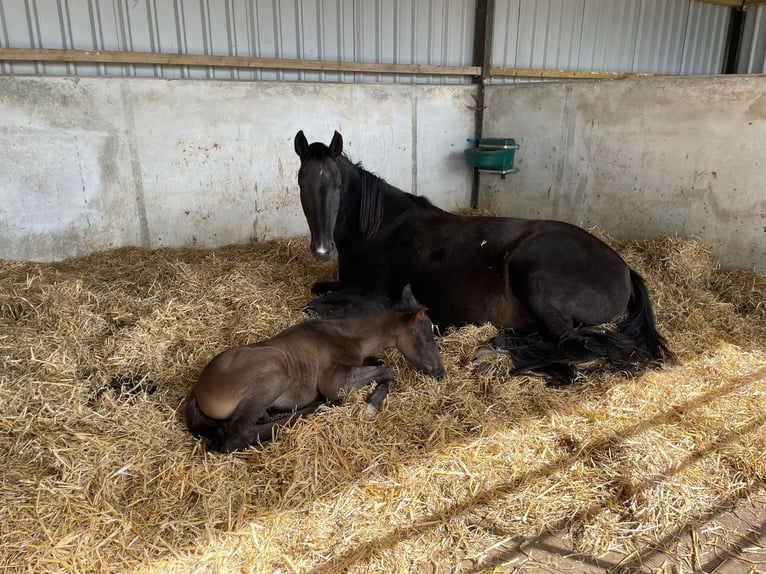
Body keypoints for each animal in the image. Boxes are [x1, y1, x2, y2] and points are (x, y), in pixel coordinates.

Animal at [185, 286, 444, 452]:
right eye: (427, 337)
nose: (441, 372)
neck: (349, 336)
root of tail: (197, 391)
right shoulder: (333, 381)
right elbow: (389, 371)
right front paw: (371, 405)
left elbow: (378, 363)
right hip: (275, 372)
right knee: (235, 435)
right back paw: (318, 407)